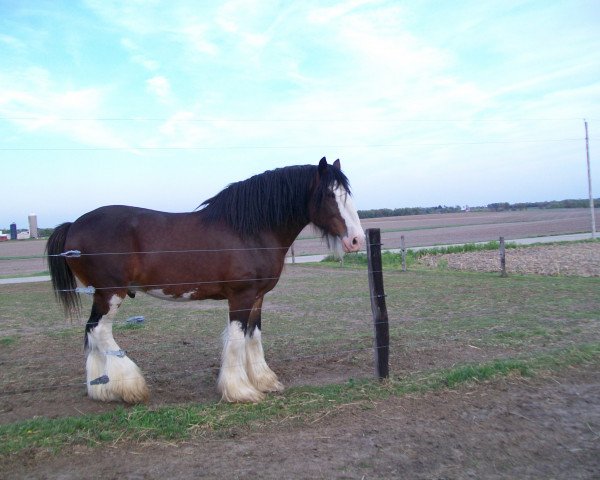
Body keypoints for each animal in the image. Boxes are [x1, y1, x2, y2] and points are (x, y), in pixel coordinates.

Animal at [45, 158, 366, 404]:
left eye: (348, 194)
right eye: (330, 196)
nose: (356, 240)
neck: (250, 230)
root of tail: (73, 225)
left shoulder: (258, 296)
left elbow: (254, 337)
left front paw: (264, 381)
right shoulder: (241, 295)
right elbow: (236, 340)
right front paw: (240, 391)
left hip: (101, 295)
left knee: (91, 332)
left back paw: (101, 389)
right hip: (110, 293)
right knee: (100, 332)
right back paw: (129, 387)